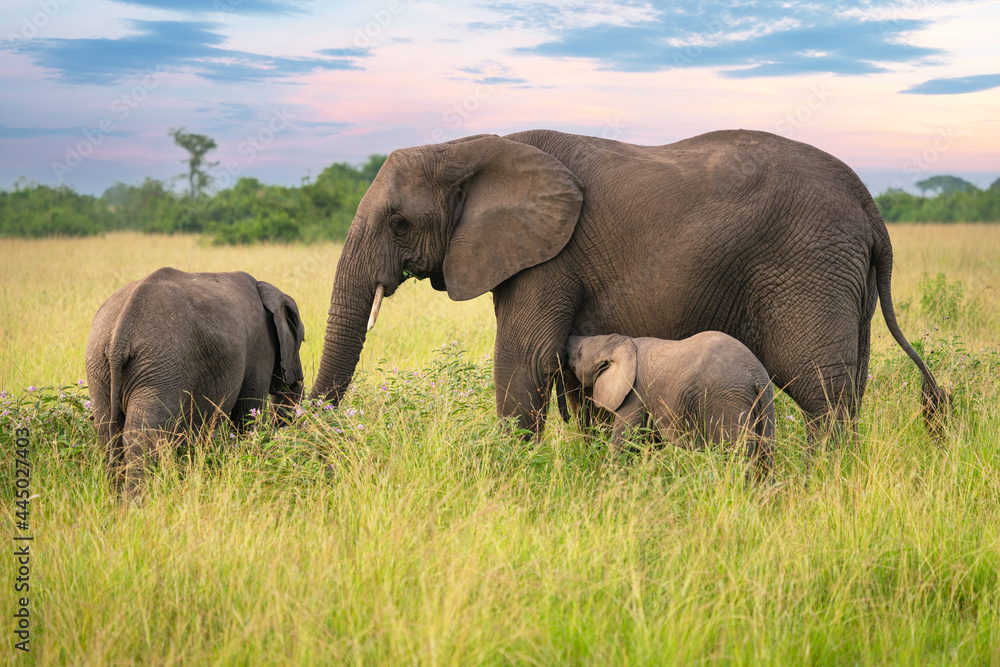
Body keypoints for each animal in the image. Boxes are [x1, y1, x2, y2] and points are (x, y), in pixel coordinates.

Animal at [85, 267, 306, 497]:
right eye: (302, 340)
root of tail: (119, 338)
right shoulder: (262, 346)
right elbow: (247, 416)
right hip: (161, 366)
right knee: (143, 438)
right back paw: (136, 503)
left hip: (99, 366)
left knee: (107, 433)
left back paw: (115, 499)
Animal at [310, 129, 945, 443]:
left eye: (398, 222)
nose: (308, 433)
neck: (463, 147)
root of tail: (870, 205)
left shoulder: (551, 254)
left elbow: (525, 357)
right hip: (843, 277)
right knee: (847, 384)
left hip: (810, 266)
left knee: (822, 391)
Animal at [565, 332, 774, 476]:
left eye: (580, 352)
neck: (619, 342)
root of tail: (757, 375)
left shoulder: (634, 394)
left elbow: (623, 442)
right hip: (763, 406)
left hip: (727, 402)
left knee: (735, 455)